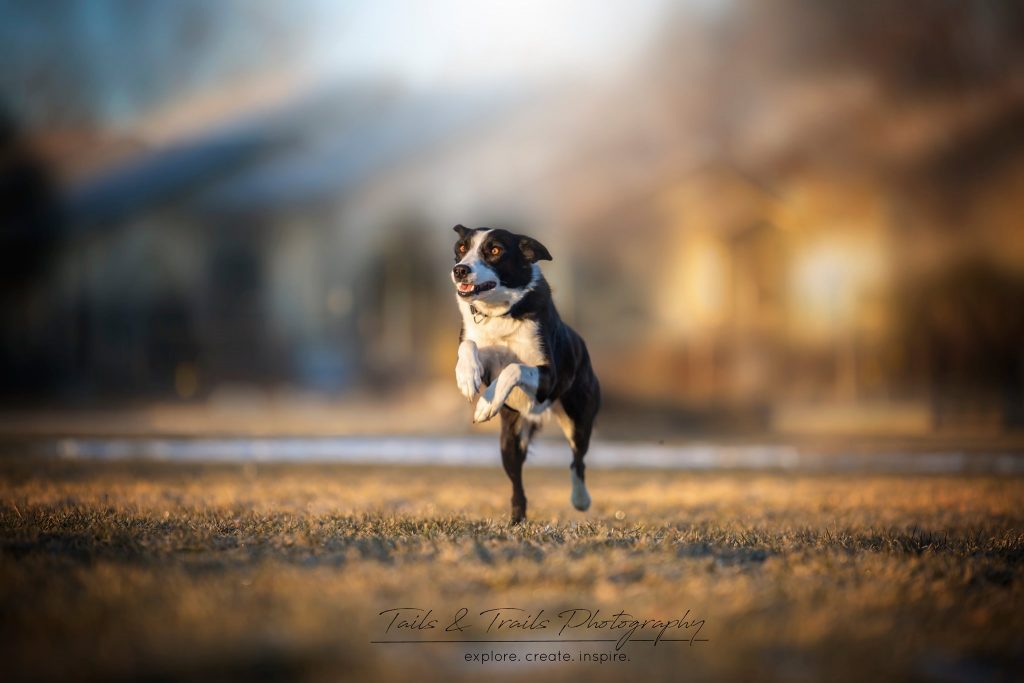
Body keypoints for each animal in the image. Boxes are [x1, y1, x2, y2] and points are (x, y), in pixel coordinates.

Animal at [450, 224, 598, 524]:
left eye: (495, 250)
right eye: (461, 248)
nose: (459, 270)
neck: (499, 313)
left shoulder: (548, 378)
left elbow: (513, 367)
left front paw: (485, 405)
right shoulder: (480, 346)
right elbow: (468, 345)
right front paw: (467, 378)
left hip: (579, 419)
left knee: (577, 461)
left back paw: (580, 500)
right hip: (510, 439)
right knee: (517, 484)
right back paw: (517, 520)